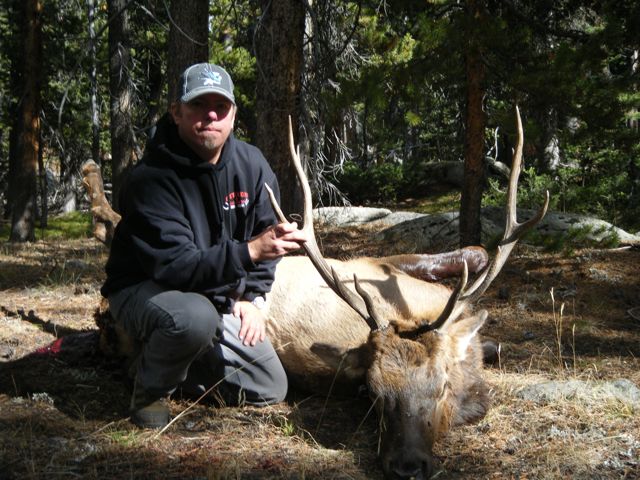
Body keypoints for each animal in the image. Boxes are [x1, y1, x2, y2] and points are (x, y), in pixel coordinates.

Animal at [82, 108, 548, 480]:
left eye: (442, 387)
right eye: (373, 394)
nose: (406, 466)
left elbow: (478, 267)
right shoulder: (373, 264)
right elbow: (475, 258)